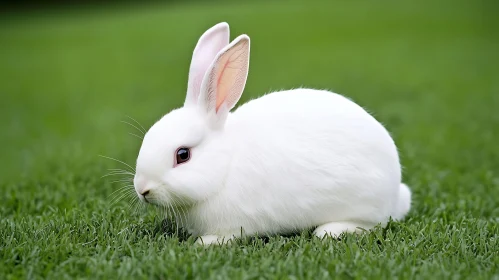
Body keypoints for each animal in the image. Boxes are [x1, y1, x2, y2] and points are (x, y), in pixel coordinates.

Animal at [134, 22, 414, 245]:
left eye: (182, 155)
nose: (142, 189)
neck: (226, 165)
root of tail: (395, 194)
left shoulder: (236, 223)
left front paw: (203, 243)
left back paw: (328, 231)